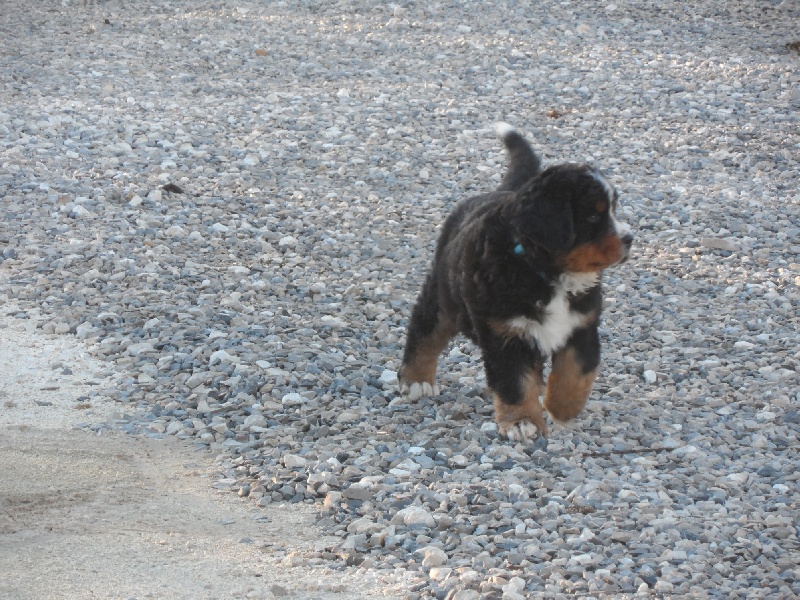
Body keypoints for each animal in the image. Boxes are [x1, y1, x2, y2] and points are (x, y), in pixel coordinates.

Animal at [399, 123, 633, 441]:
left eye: (613, 208)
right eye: (594, 216)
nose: (630, 238)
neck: (547, 272)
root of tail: (499, 191)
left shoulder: (581, 324)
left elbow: (577, 372)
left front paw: (561, 408)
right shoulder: (504, 333)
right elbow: (514, 382)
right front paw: (523, 421)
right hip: (444, 296)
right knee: (425, 330)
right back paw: (416, 379)